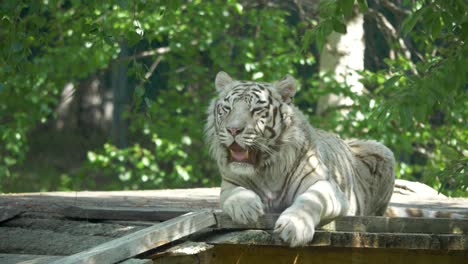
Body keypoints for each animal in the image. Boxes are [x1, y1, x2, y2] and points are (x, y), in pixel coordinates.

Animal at [205, 71, 394, 246]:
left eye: (256, 110)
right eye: (227, 109)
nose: (233, 130)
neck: (266, 171)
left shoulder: (327, 186)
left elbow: (311, 200)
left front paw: (294, 227)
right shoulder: (230, 182)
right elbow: (234, 193)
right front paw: (246, 210)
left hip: (383, 151)